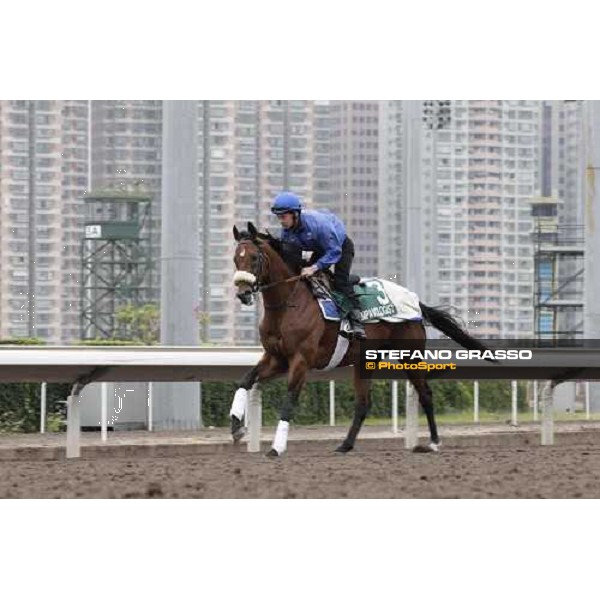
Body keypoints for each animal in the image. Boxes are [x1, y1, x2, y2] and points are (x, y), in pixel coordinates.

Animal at [230, 223, 488, 458]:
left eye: (254, 257)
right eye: (235, 259)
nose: (243, 293)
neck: (288, 304)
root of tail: (414, 300)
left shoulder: (301, 360)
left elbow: (290, 399)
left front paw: (276, 447)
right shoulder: (276, 358)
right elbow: (245, 380)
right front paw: (236, 426)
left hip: (409, 356)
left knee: (425, 393)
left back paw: (433, 443)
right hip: (366, 361)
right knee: (363, 403)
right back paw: (345, 445)